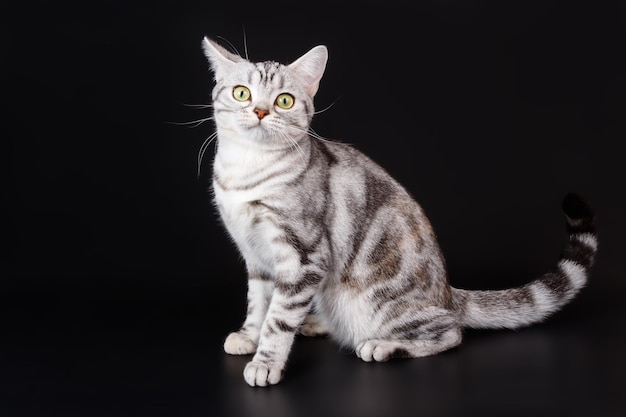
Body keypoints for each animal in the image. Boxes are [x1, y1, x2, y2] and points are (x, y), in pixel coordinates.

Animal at [199, 37, 596, 386]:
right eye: (242, 93)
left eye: (284, 100)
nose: (261, 111)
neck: (245, 173)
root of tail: (448, 292)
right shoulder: (257, 257)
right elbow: (260, 303)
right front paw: (249, 336)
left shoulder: (303, 257)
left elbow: (279, 319)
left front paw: (266, 362)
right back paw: (316, 323)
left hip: (374, 302)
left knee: (451, 332)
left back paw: (383, 345)